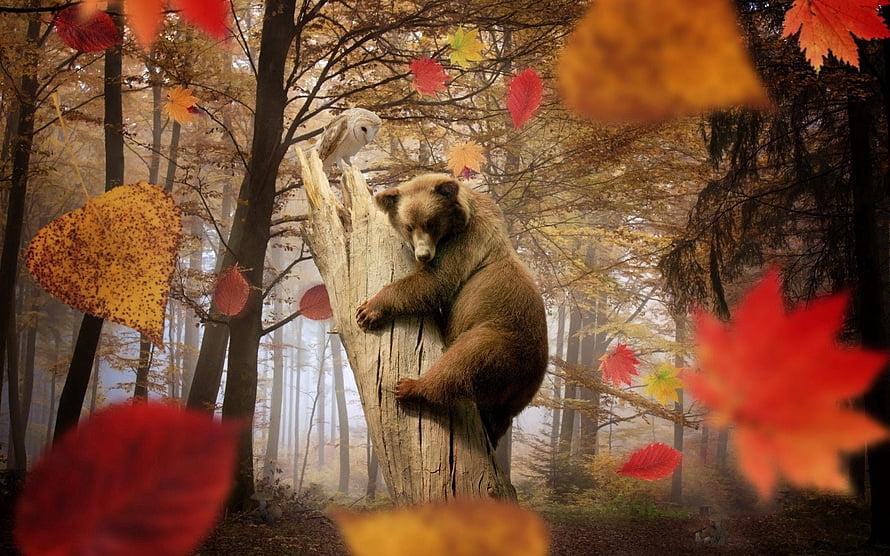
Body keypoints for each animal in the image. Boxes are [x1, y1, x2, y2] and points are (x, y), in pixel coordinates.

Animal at [355, 173, 548, 447]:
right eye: (409, 226)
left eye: (431, 223)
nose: (423, 255)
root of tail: (533, 379)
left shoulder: (465, 244)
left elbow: (434, 282)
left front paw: (368, 310)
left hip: (500, 340)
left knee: (463, 362)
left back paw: (410, 386)